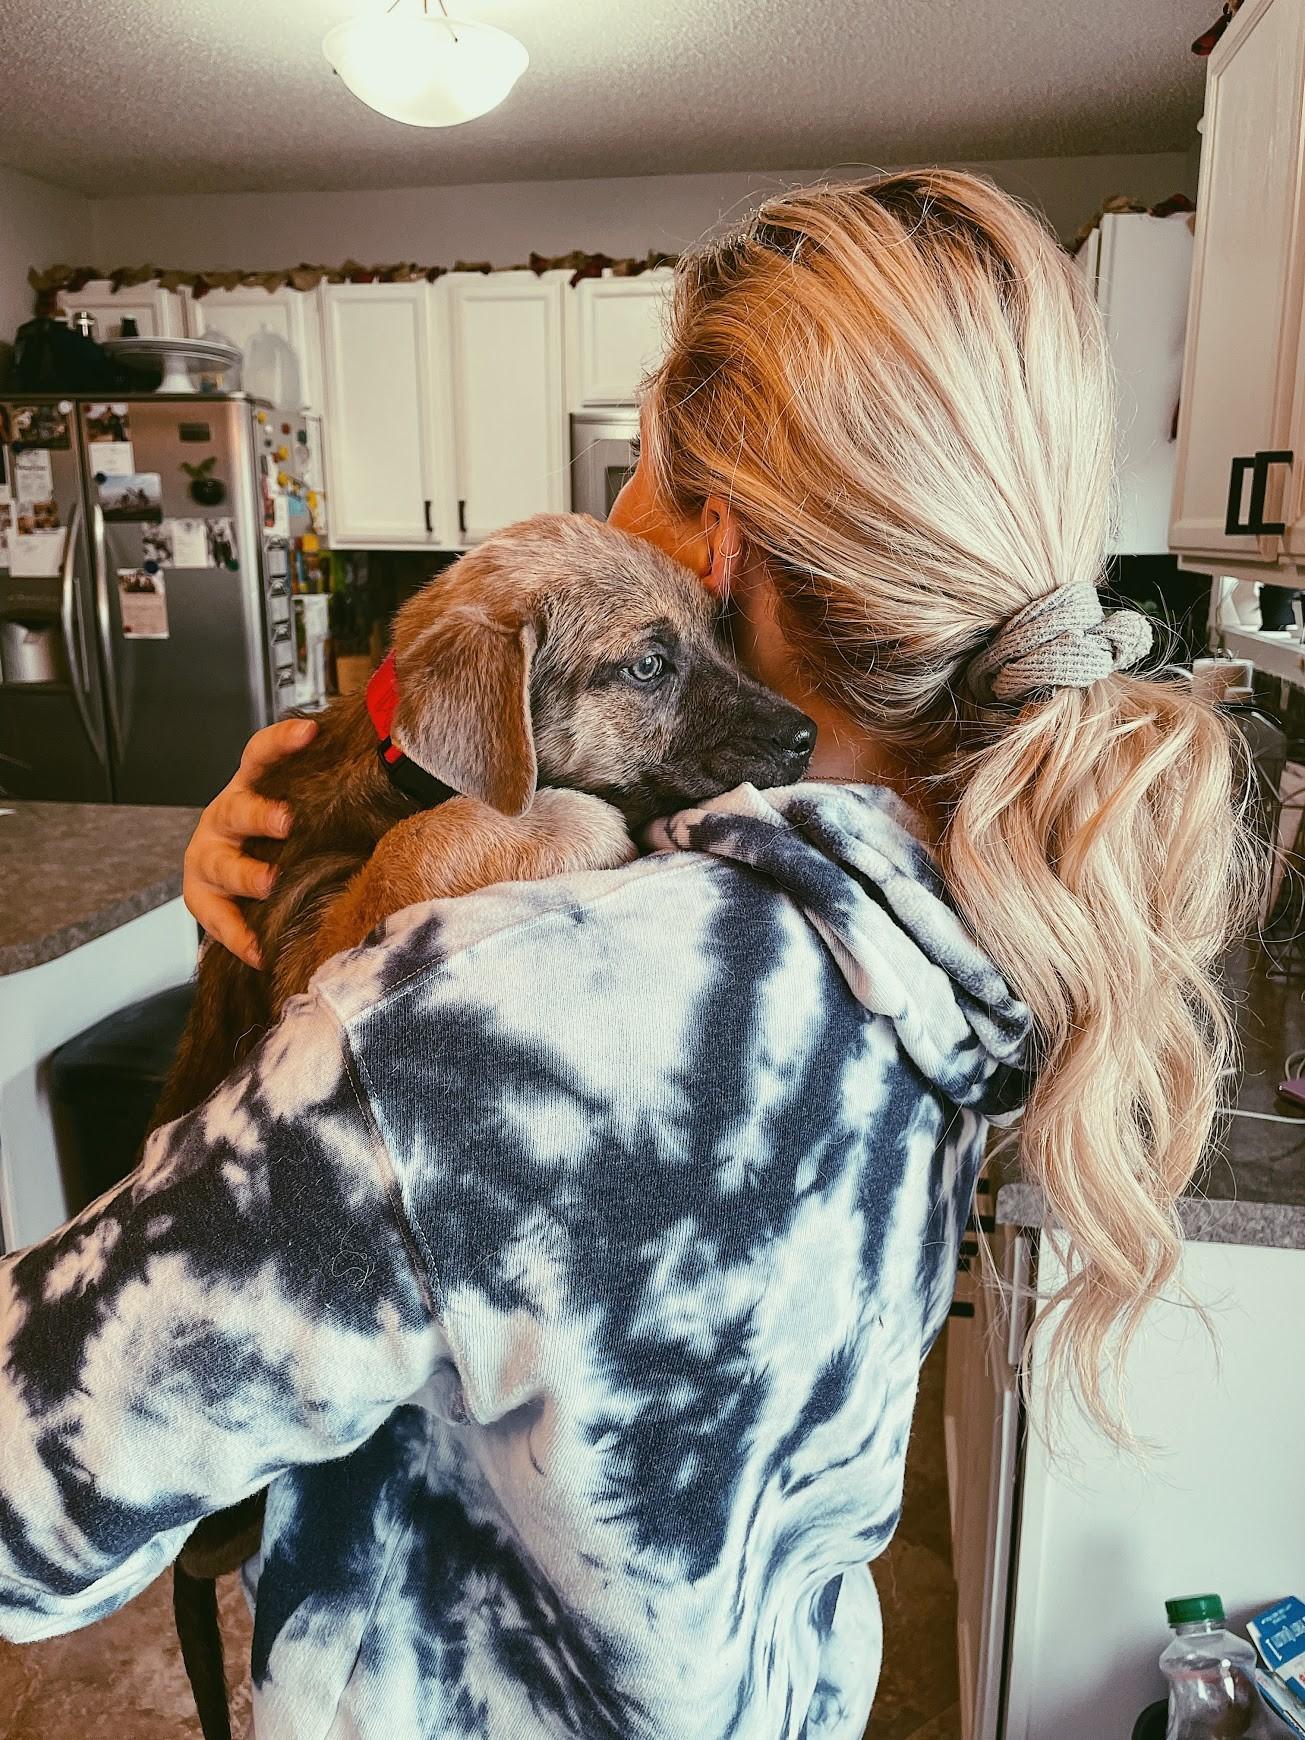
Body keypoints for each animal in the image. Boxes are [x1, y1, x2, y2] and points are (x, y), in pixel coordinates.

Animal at [160, 508, 817, 1740]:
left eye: (721, 634)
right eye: (647, 667)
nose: (803, 737)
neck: (398, 771)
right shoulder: (316, 956)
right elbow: (467, 826)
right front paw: (576, 818)